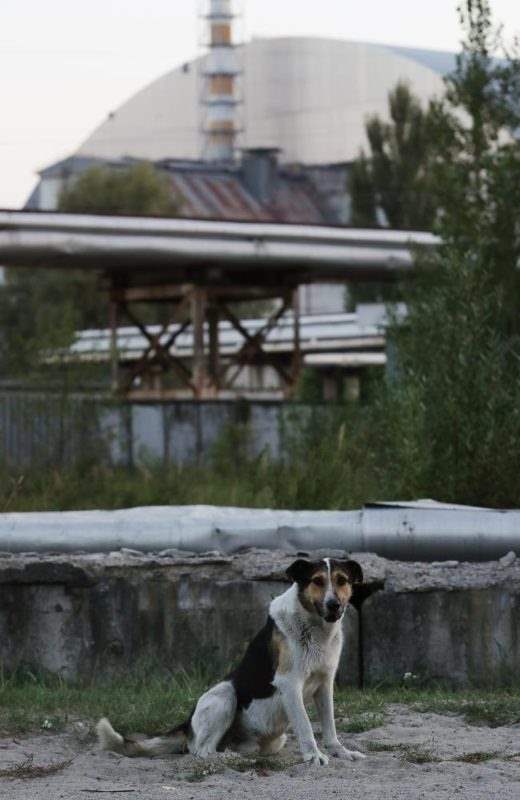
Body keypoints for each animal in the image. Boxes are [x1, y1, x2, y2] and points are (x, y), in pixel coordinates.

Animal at [96, 556, 366, 768]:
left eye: (342, 581)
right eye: (317, 581)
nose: (334, 605)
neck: (315, 628)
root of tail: (187, 724)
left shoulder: (324, 685)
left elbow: (329, 727)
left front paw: (340, 751)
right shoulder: (290, 684)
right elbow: (306, 726)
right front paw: (313, 756)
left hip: (270, 740)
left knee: (226, 748)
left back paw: (241, 756)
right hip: (226, 693)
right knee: (202, 751)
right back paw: (229, 759)